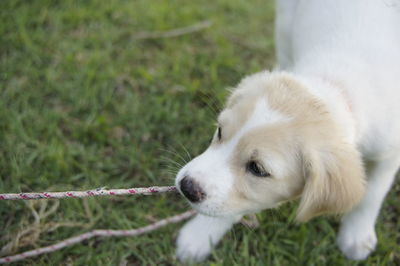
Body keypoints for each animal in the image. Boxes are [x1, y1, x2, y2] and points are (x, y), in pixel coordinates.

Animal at [175, 0, 400, 262]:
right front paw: (200, 234)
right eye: (220, 131)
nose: (186, 187)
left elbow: (371, 195)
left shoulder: (388, 155)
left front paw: (356, 236)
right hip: (284, 22)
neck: (337, 85)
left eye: (257, 169)